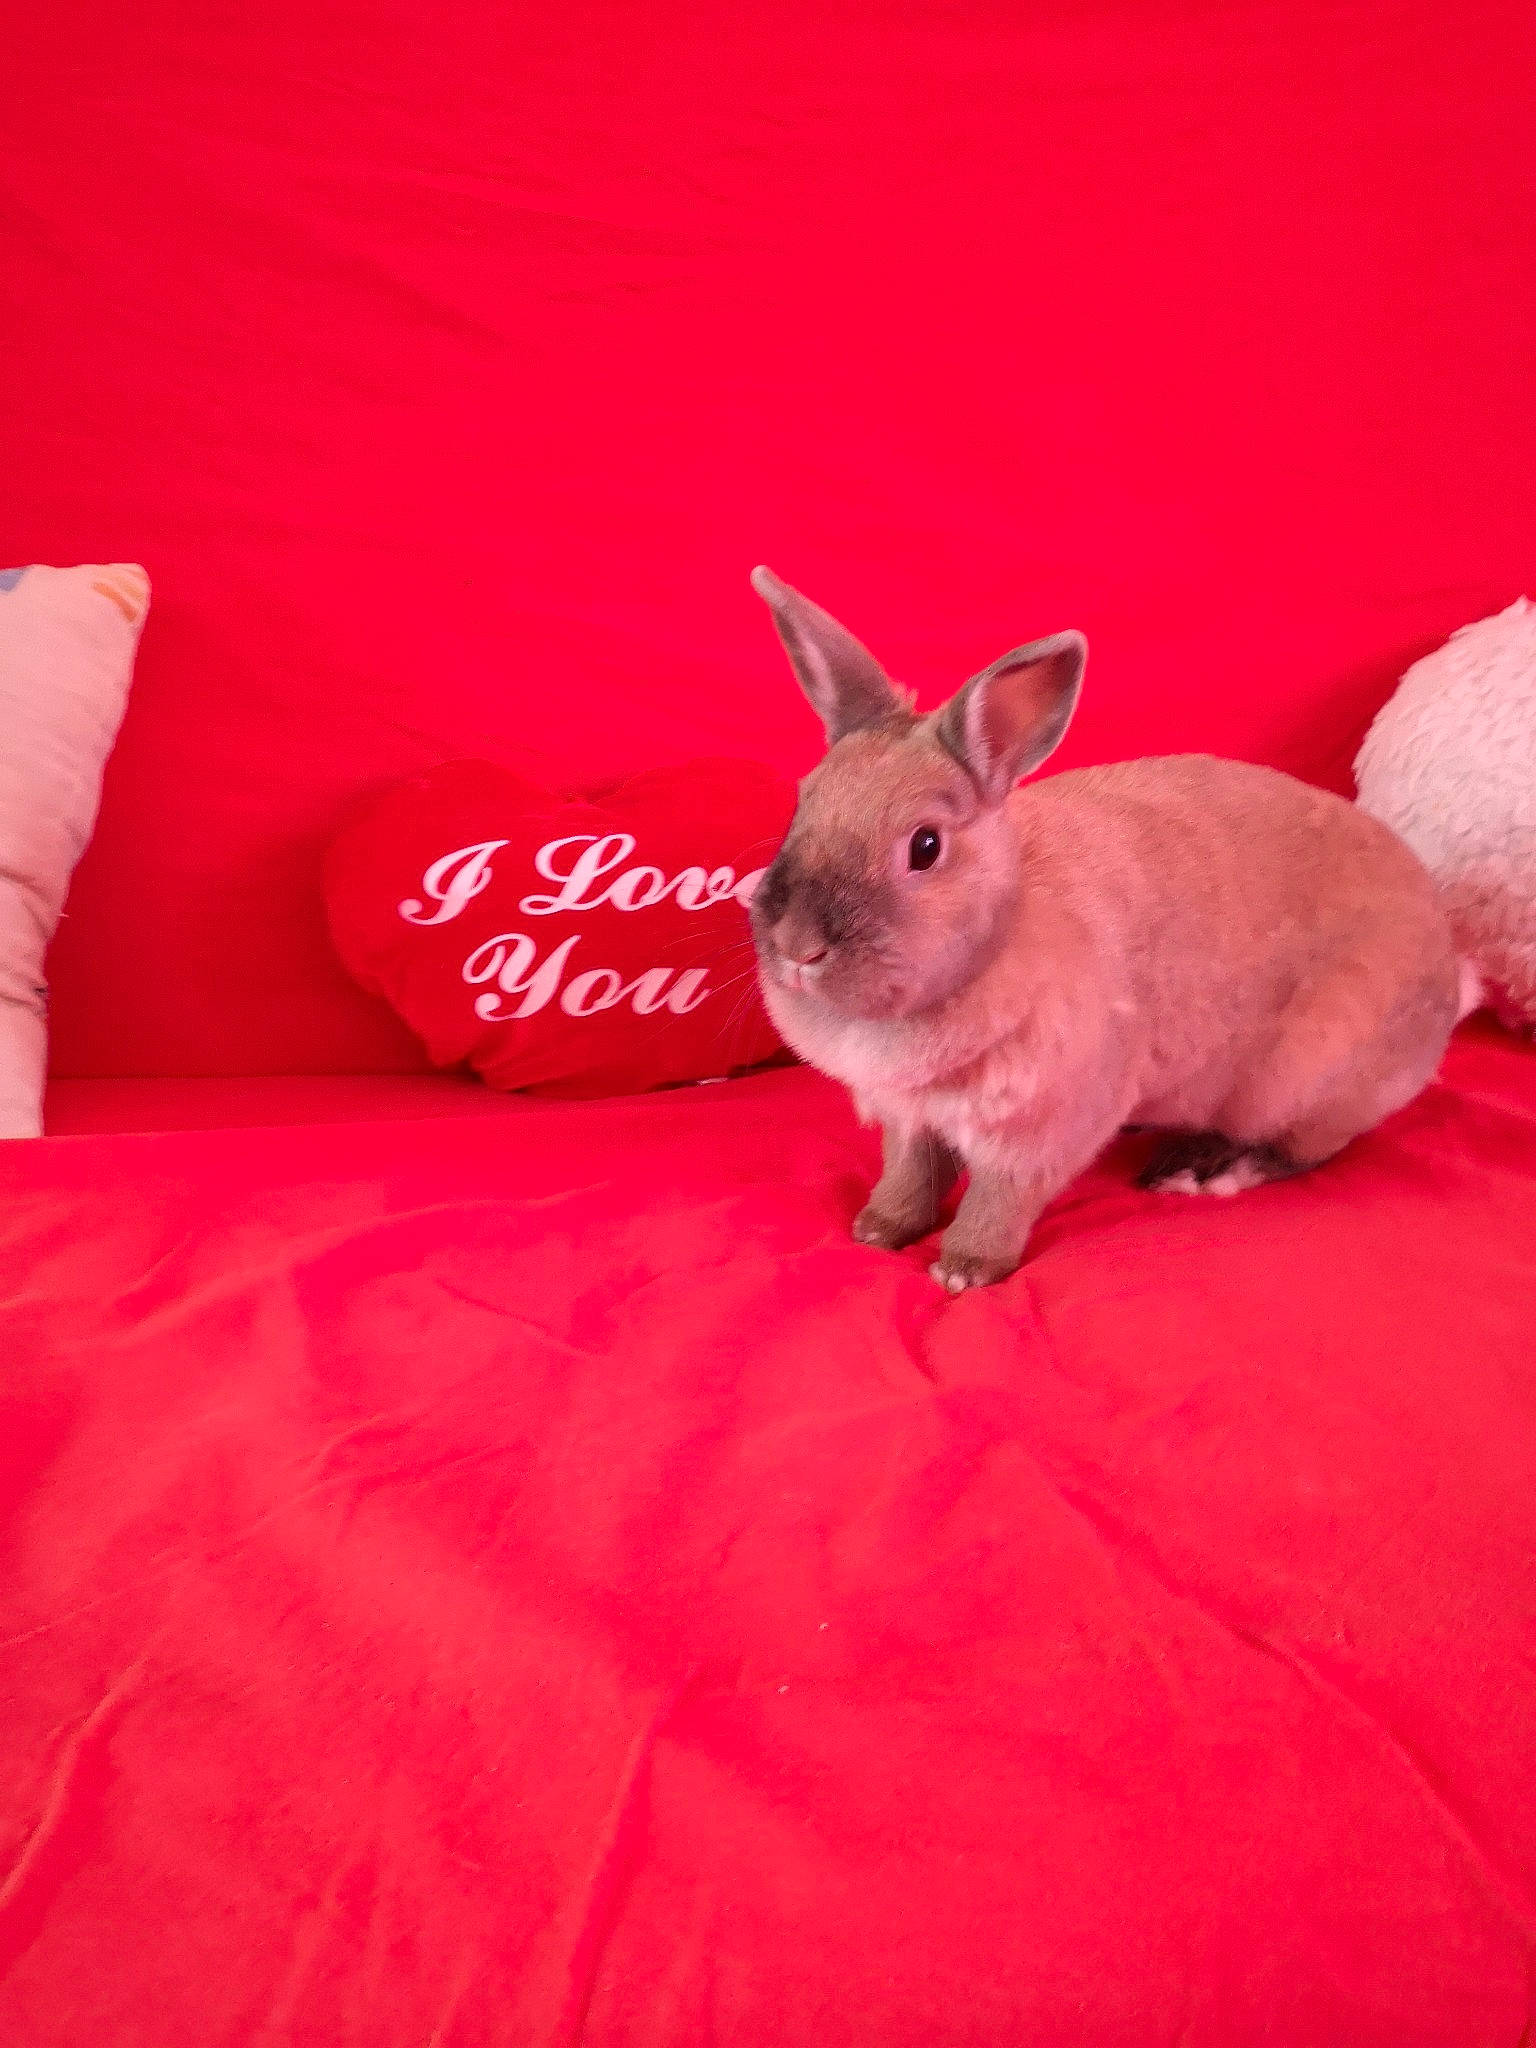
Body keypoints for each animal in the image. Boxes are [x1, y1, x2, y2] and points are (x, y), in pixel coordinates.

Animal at [747, 567, 1466, 1291]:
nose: (797, 947)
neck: (1000, 934)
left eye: (925, 846)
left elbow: (998, 1200)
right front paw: (877, 1230)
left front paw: (965, 1270)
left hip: (1303, 1078)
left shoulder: (1038, 1132)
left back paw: (1204, 1171)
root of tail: (1447, 973)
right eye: (803, 803)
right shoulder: (910, 1120)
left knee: (1303, 1149)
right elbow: (910, 1176)